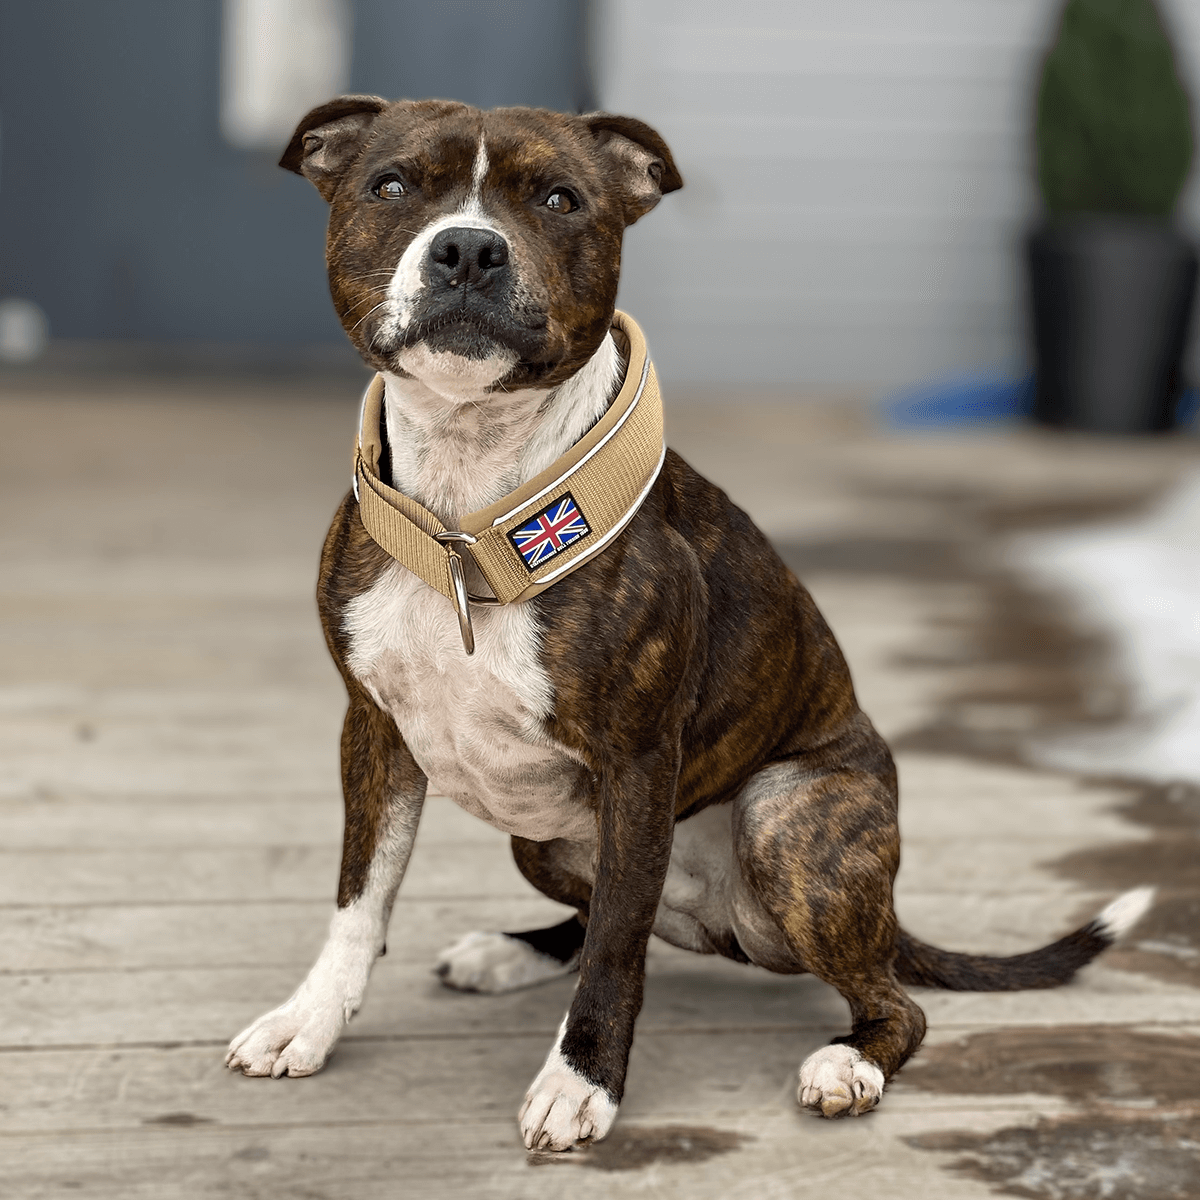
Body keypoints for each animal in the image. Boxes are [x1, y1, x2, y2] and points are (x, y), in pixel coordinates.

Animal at [225, 100, 1152, 1152]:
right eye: (390, 186)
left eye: (560, 199)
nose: (467, 248)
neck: (469, 512)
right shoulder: (374, 734)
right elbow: (358, 899)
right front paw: (308, 1021)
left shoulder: (638, 761)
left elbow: (617, 949)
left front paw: (581, 1081)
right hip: (547, 837)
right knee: (598, 912)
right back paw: (511, 950)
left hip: (786, 819)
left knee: (890, 999)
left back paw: (851, 1063)